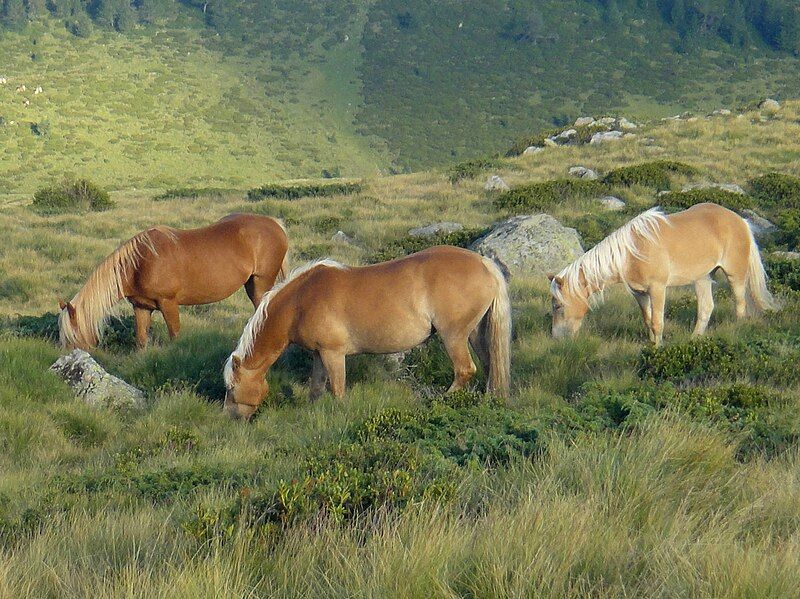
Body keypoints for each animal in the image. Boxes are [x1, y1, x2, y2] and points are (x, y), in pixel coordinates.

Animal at [60, 213, 290, 352]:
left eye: (73, 334)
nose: (68, 358)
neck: (140, 263)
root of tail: (275, 224)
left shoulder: (168, 303)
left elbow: (174, 334)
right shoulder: (141, 307)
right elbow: (141, 339)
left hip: (261, 283)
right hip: (251, 284)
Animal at [223, 246, 512, 420]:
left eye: (231, 387)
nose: (230, 417)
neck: (301, 299)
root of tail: (483, 262)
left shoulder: (333, 354)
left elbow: (337, 389)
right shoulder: (319, 354)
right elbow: (316, 388)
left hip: (453, 337)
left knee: (465, 370)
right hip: (474, 333)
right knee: (489, 365)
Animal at [548, 203, 780, 344]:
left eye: (558, 305)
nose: (557, 338)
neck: (632, 251)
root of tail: (741, 220)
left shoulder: (658, 289)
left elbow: (657, 322)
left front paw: (658, 349)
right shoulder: (640, 293)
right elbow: (648, 320)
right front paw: (651, 345)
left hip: (735, 275)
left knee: (740, 304)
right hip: (702, 278)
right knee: (706, 308)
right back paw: (694, 340)